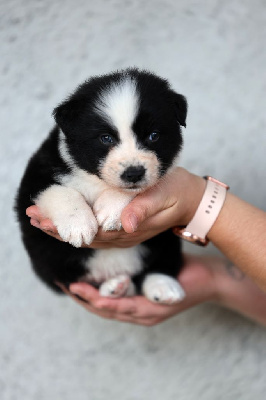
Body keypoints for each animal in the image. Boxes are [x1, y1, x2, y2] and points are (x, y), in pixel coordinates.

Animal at [15, 69, 187, 304]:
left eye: (153, 136)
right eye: (106, 138)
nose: (134, 173)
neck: (96, 181)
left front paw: (112, 209)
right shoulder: (35, 176)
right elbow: (59, 191)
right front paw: (78, 225)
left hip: (165, 237)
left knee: (160, 264)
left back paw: (161, 285)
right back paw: (115, 287)